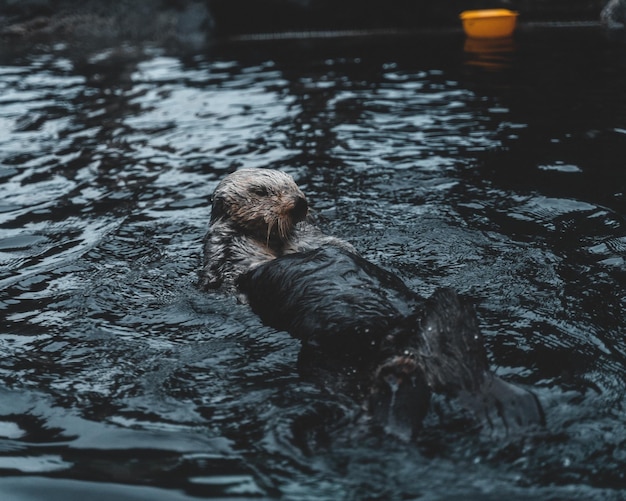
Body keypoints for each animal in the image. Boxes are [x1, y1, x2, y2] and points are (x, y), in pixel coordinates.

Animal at [201, 168, 540, 438]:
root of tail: (407, 342)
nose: (300, 203)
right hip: (326, 358)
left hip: (441, 311)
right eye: (260, 191)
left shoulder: (309, 240)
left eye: (295, 183)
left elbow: (328, 243)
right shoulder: (229, 263)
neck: (278, 247)